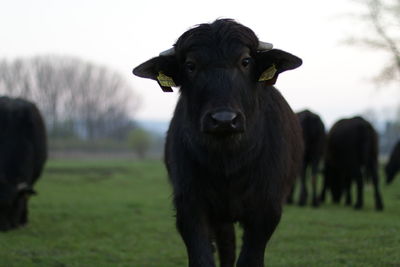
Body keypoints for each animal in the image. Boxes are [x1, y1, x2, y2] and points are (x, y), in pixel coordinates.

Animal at [133, 19, 302, 267]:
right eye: (190, 65)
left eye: (245, 61)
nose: (224, 119)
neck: (228, 160)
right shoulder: (190, 207)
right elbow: (203, 257)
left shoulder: (267, 209)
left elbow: (250, 259)